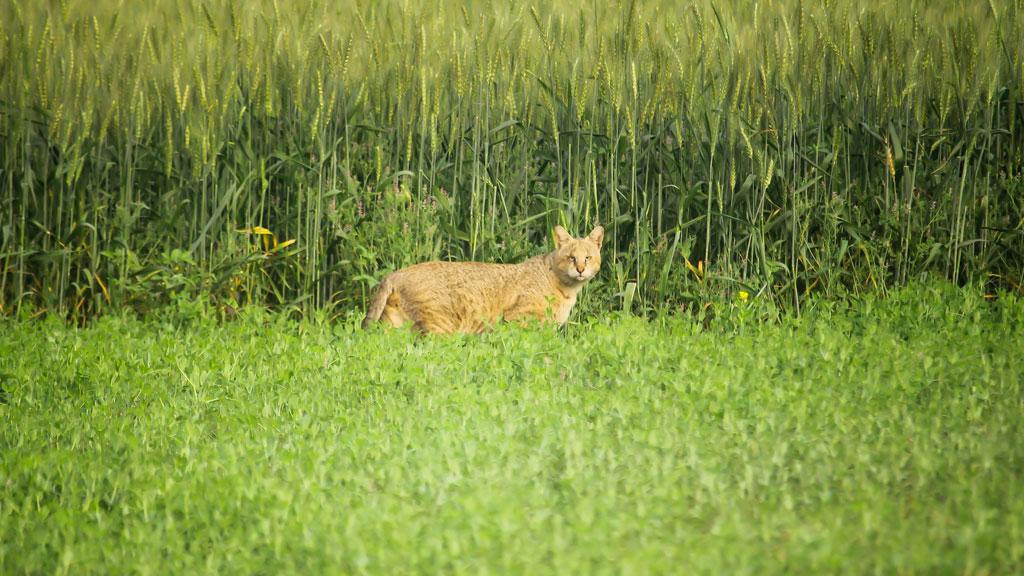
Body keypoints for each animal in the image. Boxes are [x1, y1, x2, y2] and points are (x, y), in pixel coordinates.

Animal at [362, 224, 602, 332]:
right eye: (571, 258)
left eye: (588, 258)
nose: (581, 269)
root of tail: (396, 273)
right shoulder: (518, 319)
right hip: (439, 326)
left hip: (392, 324)